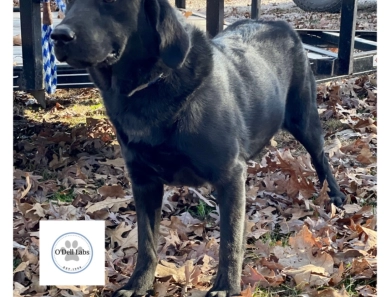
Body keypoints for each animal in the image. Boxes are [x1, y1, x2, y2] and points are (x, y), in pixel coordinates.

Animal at [51, 1, 344, 294]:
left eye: (111, 3)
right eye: (70, 3)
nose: (58, 36)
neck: (150, 87)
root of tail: (279, 24)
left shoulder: (230, 176)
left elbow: (230, 242)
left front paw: (226, 286)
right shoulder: (144, 183)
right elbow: (147, 243)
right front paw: (139, 283)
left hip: (304, 120)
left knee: (320, 157)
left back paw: (334, 194)